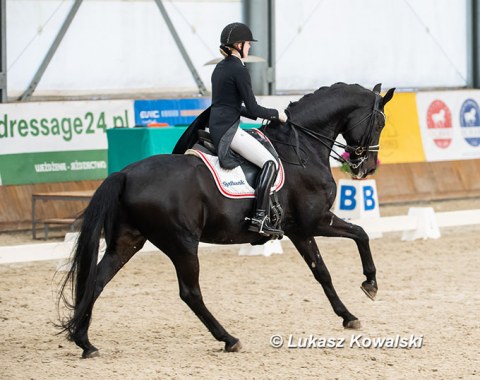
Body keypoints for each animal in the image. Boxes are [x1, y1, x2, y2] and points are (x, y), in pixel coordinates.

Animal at [58, 81, 394, 358]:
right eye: (380, 122)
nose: (367, 168)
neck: (302, 148)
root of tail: (125, 174)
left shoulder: (299, 230)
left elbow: (322, 272)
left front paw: (348, 316)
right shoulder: (316, 221)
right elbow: (361, 233)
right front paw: (370, 284)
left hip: (128, 241)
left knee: (97, 281)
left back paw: (85, 342)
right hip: (181, 243)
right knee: (190, 293)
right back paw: (229, 339)